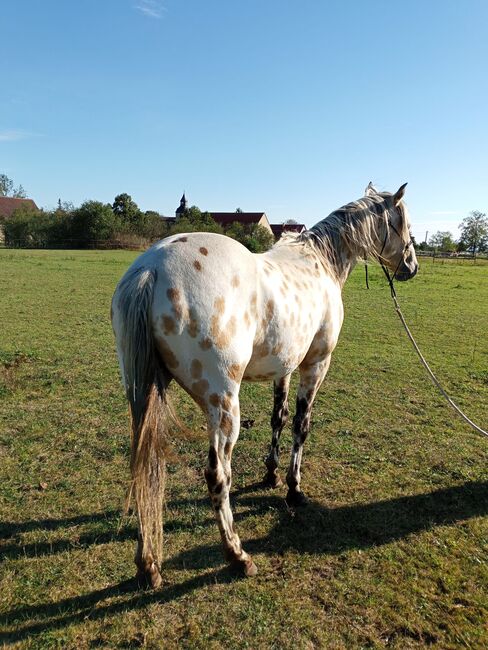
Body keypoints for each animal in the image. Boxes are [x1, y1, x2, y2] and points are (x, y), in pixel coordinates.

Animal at [112, 181, 418, 584]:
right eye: (405, 222)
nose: (412, 266)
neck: (321, 262)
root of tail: (151, 269)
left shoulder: (283, 367)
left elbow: (279, 418)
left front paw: (271, 474)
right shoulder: (315, 366)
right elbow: (301, 425)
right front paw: (293, 488)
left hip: (143, 396)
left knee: (144, 467)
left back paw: (148, 564)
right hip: (224, 406)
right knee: (217, 474)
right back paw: (237, 555)